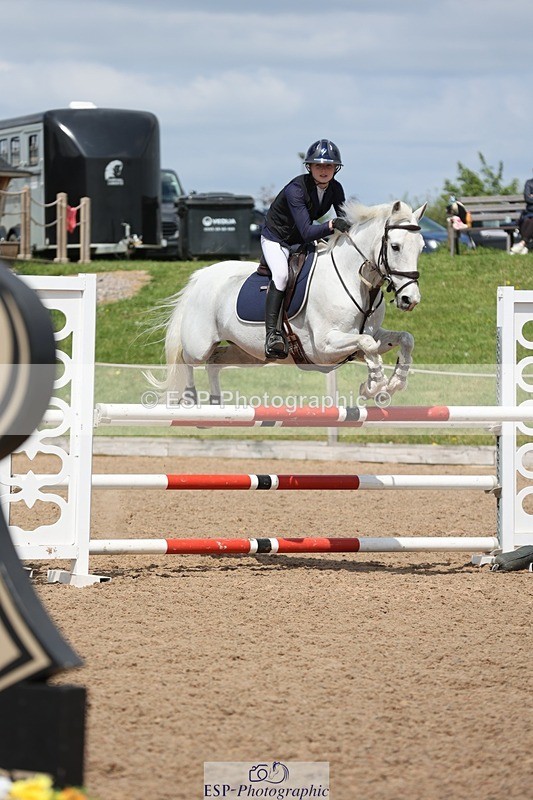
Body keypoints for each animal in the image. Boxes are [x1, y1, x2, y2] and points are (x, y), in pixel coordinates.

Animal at [145, 199, 427, 404]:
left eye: (421, 247)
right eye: (395, 246)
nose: (409, 299)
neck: (356, 281)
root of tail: (200, 277)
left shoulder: (370, 333)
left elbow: (403, 339)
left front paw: (392, 383)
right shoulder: (324, 346)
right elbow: (368, 345)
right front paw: (375, 385)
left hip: (249, 352)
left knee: (215, 362)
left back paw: (216, 405)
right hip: (199, 344)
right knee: (187, 360)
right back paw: (190, 400)